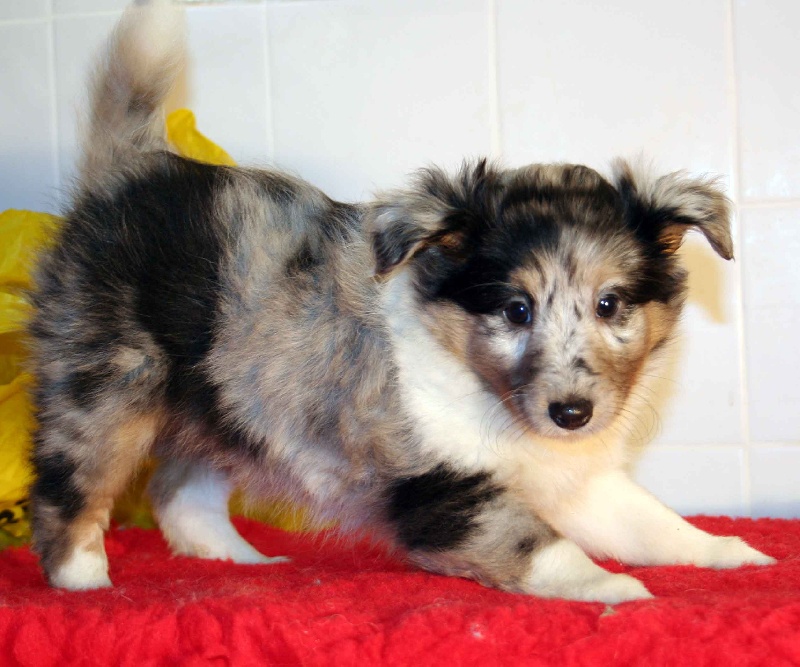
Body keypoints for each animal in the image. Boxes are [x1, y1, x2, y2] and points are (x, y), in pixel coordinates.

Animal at [28, 0, 774, 603]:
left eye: (611, 305)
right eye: (516, 311)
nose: (571, 414)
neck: (483, 385)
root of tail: (127, 173)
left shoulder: (576, 478)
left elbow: (649, 519)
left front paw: (732, 553)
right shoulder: (443, 487)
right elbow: (544, 547)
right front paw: (616, 589)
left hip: (232, 396)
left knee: (178, 491)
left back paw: (242, 560)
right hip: (108, 381)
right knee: (72, 486)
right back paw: (86, 580)